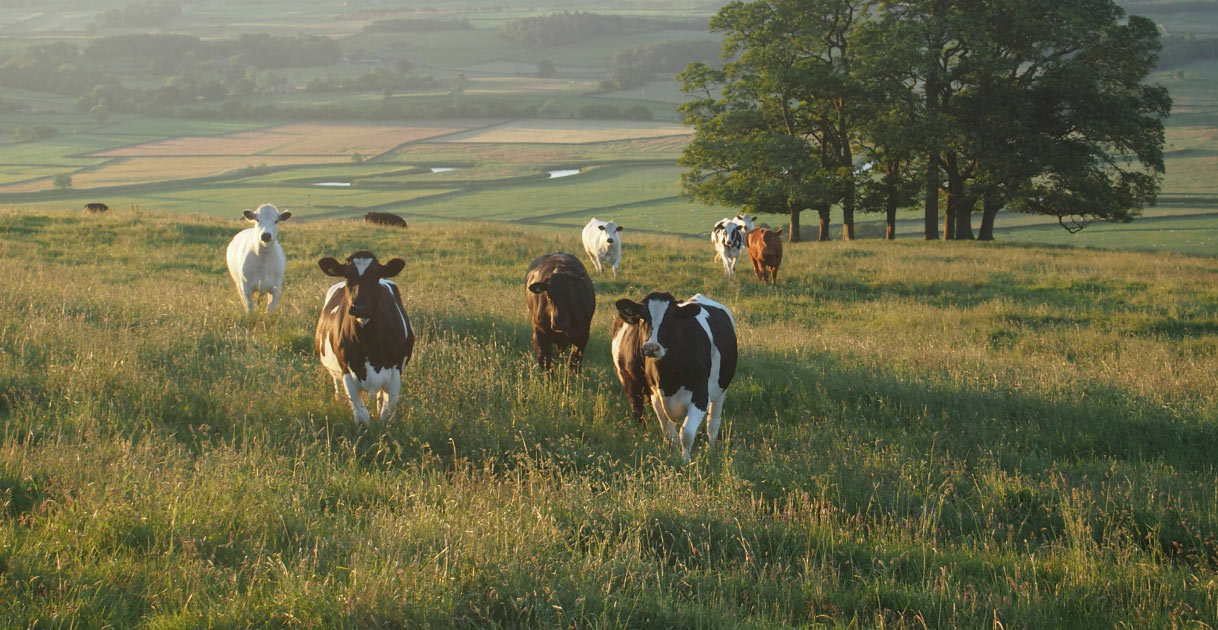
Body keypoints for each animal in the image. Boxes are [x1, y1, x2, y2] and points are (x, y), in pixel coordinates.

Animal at [316, 249, 416, 421]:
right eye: (347, 276)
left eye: (375, 276)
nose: (360, 307)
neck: (369, 342)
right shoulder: (347, 372)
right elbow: (361, 415)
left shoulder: (395, 372)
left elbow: (386, 412)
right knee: (337, 386)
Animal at [613, 291, 735, 460]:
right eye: (643, 317)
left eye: (670, 319)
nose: (651, 347)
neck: (669, 377)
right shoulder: (655, 396)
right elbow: (670, 435)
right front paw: (674, 458)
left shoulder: (700, 396)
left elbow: (687, 434)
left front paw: (686, 461)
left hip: (721, 390)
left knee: (713, 424)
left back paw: (711, 450)